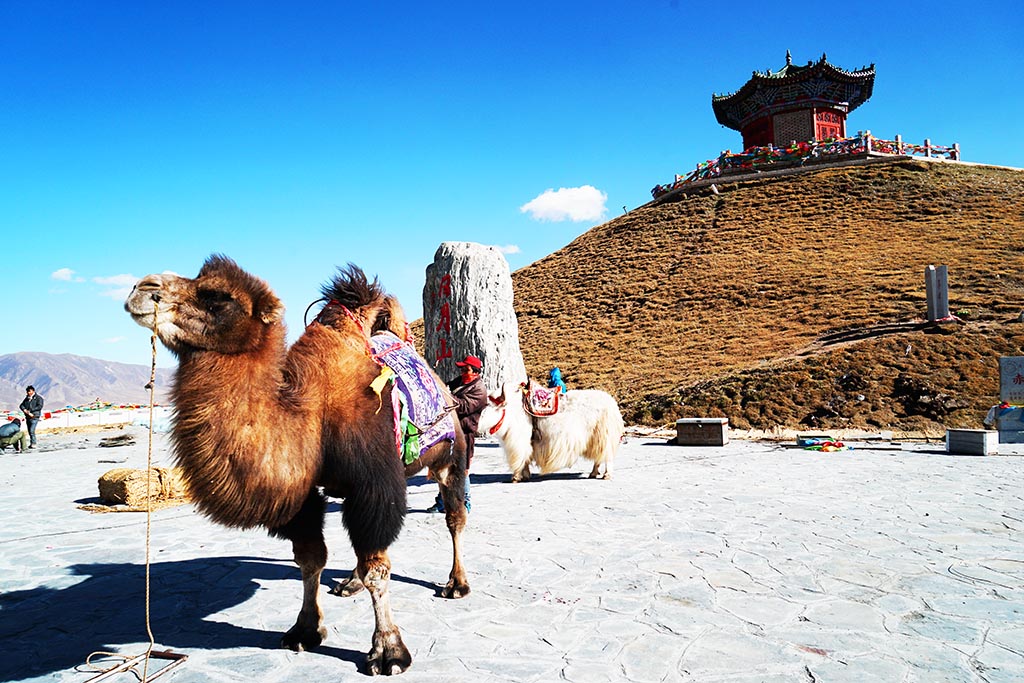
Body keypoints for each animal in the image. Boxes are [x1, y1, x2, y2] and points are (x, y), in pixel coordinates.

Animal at [124, 255, 471, 679]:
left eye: (217, 296)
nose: (142, 287)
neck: (310, 412)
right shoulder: (303, 497)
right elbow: (310, 559)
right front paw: (304, 630)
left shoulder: (374, 486)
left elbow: (377, 567)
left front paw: (388, 651)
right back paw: (349, 583)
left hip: (450, 458)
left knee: (454, 518)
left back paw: (456, 583)